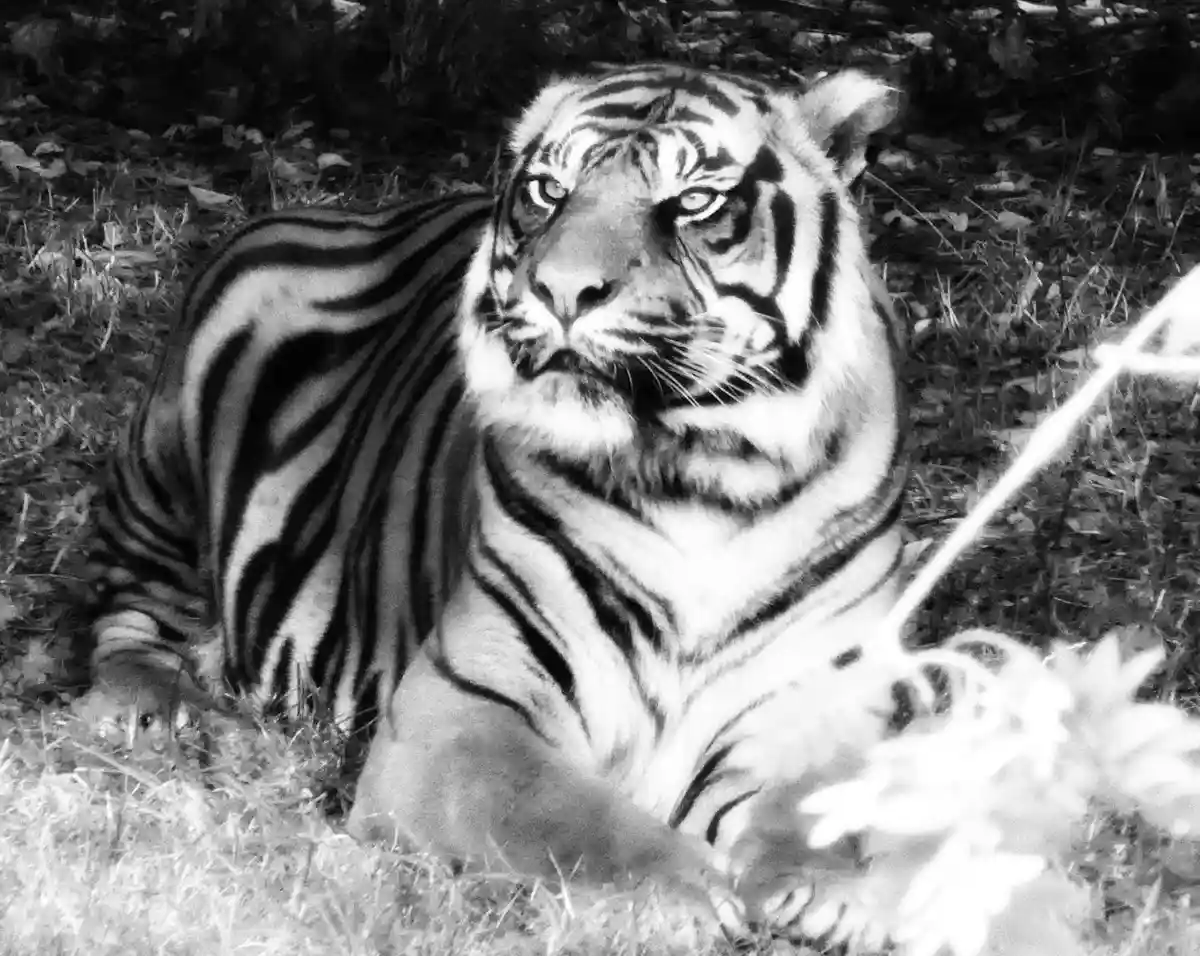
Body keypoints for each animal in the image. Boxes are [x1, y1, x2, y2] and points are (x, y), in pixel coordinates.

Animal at [84, 62, 908, 937]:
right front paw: (683, 891)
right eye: (550, 190)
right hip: (169, 460)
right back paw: (182, 721)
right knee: (130, 619)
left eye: (692, 202)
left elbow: (837, 803)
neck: (697, 476)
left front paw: (838, 886)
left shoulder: (815, 701)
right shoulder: (462, 710)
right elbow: (569, 817)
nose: (561, 289)